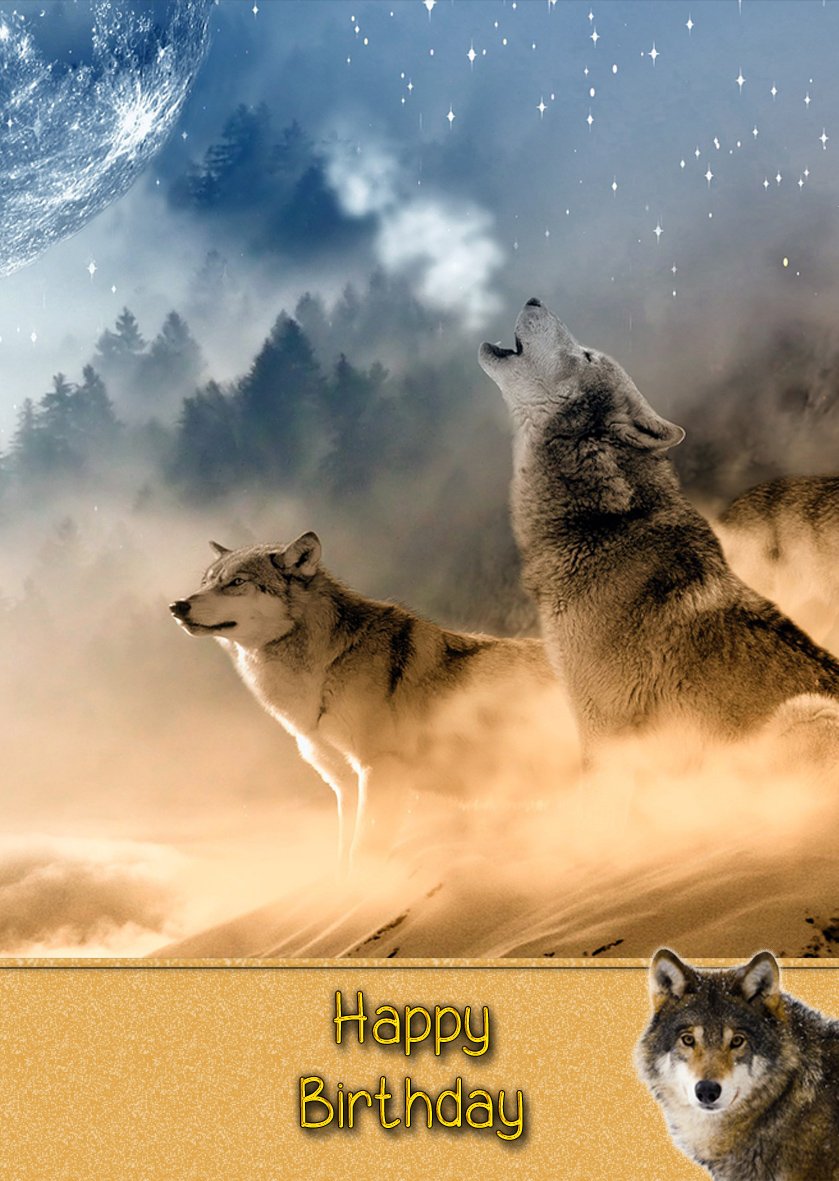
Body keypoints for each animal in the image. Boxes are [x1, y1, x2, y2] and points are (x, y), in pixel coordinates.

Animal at [169, 532, 573, 871]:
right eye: (206, 582)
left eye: (236, 582)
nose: (178, 606)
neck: (325, 668)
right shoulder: (345, 785)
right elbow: (343, 857)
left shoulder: (379, 770)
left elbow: (363, 852)